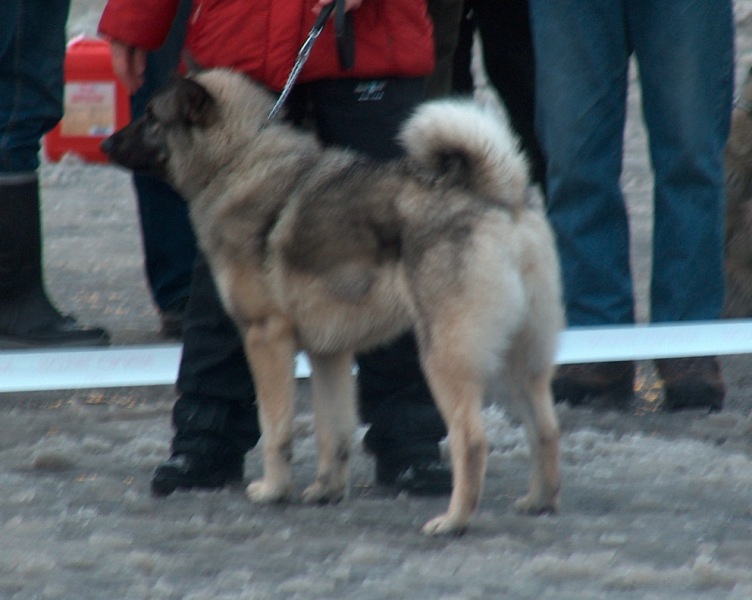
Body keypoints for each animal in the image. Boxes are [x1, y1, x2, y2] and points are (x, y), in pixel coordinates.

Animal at [102, 68, 563, 535]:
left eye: (151, 116)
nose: (105, 144)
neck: (237, 160)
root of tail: (498, 196)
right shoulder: (329, 355)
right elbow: (333, 431)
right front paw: (326, 490)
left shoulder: (266, 338)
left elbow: (276, 428)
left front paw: (274, 490)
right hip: (518, 362)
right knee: (545, 429)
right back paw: (539, 501)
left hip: (445, 357)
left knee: (471, 441)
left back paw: (453, 521)